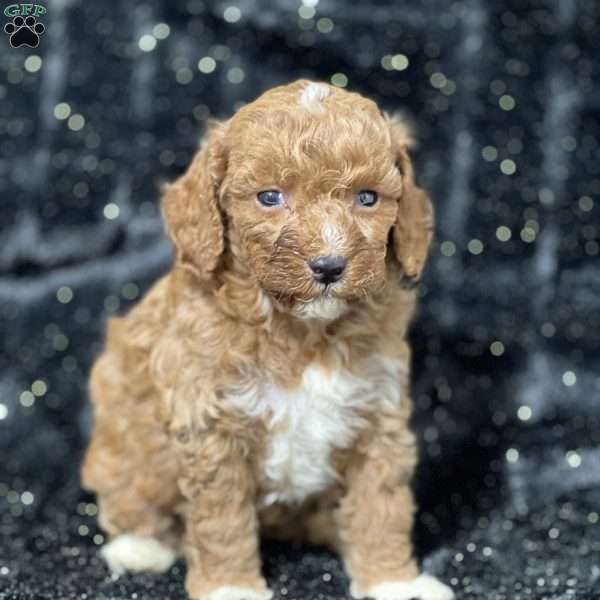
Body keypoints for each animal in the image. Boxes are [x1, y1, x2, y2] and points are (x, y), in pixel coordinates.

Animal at [82, 79, 452, 600]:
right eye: (270, 197)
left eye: (367, 198)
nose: (329, 266)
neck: (302, 329)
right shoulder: (212, 425)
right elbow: (222, 521)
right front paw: (230, 587)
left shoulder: (378, 414)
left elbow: (382, 506)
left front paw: (393, 581)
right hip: (123, 430)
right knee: (128, 492)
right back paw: (140, 546)